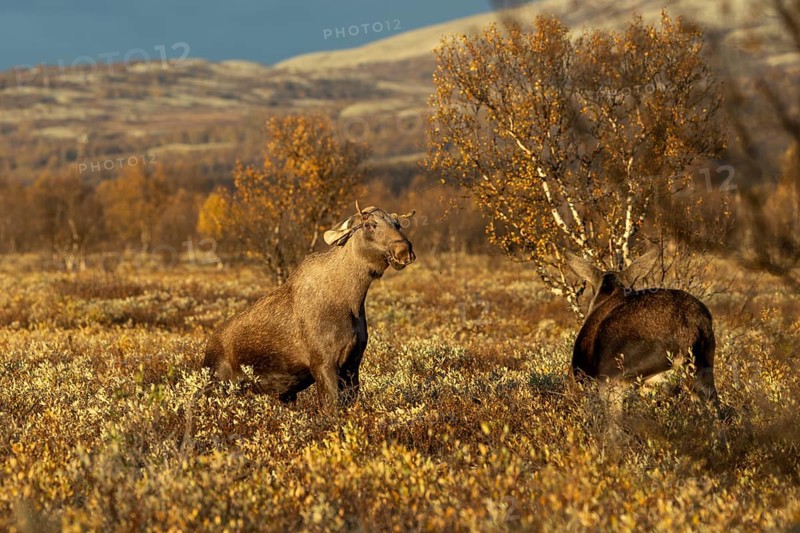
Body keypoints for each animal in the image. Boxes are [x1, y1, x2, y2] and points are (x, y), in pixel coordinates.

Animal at [202, 202, 416, 410]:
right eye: (369, 225)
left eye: (397, 224)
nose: (404, 251)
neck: (353, 301)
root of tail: (206, 350)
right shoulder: (323, 364)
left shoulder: (352, 365)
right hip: (217, 385)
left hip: (284, 394)